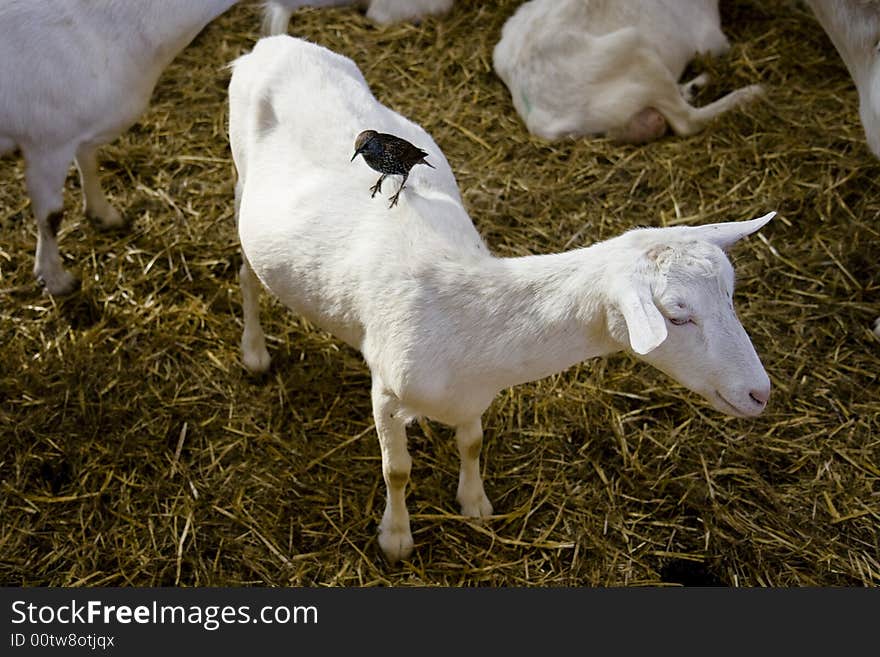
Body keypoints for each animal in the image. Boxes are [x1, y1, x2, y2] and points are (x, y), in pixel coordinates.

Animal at [0, 0, 241, 292]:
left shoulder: (83, 130)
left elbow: (89, 164)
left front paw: (103, 215)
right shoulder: (47, 144)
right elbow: (51, 216)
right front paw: (56, 279)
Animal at [230, 33, 772, 560]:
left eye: (729, 294)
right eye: (677, 317)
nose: (760, 394)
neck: (469, 314)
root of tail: (272, 44)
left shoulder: (475, 396)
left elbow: (472, 443)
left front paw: (474, 503)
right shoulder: (385, 391)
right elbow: (397, 471)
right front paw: (396, 539)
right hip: (240, 181)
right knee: (246, 274)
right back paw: (254, 354)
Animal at [492, 0, 768, 143]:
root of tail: (541, 120)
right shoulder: (711, 39)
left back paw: (692, 88)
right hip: (634, 49)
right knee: (687, 121)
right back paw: (750, 93)